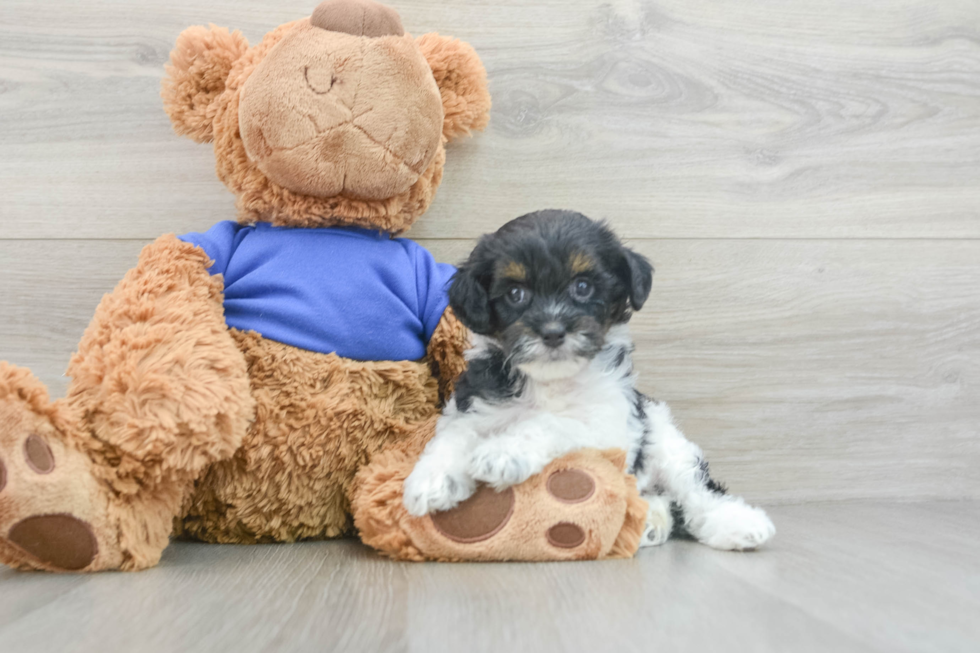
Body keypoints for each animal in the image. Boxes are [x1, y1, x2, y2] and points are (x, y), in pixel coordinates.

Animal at [402, 210, 776, 552]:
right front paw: (431, 479)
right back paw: (648, 523)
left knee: (695, 488)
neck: (550, 379)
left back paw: (738, 524)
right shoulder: (476, 404)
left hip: (668, 442)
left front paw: (503, 453)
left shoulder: (607, 427)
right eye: (515, 293)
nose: (553, 332)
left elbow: (550, 423)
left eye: (582, 287)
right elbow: (453, 437)